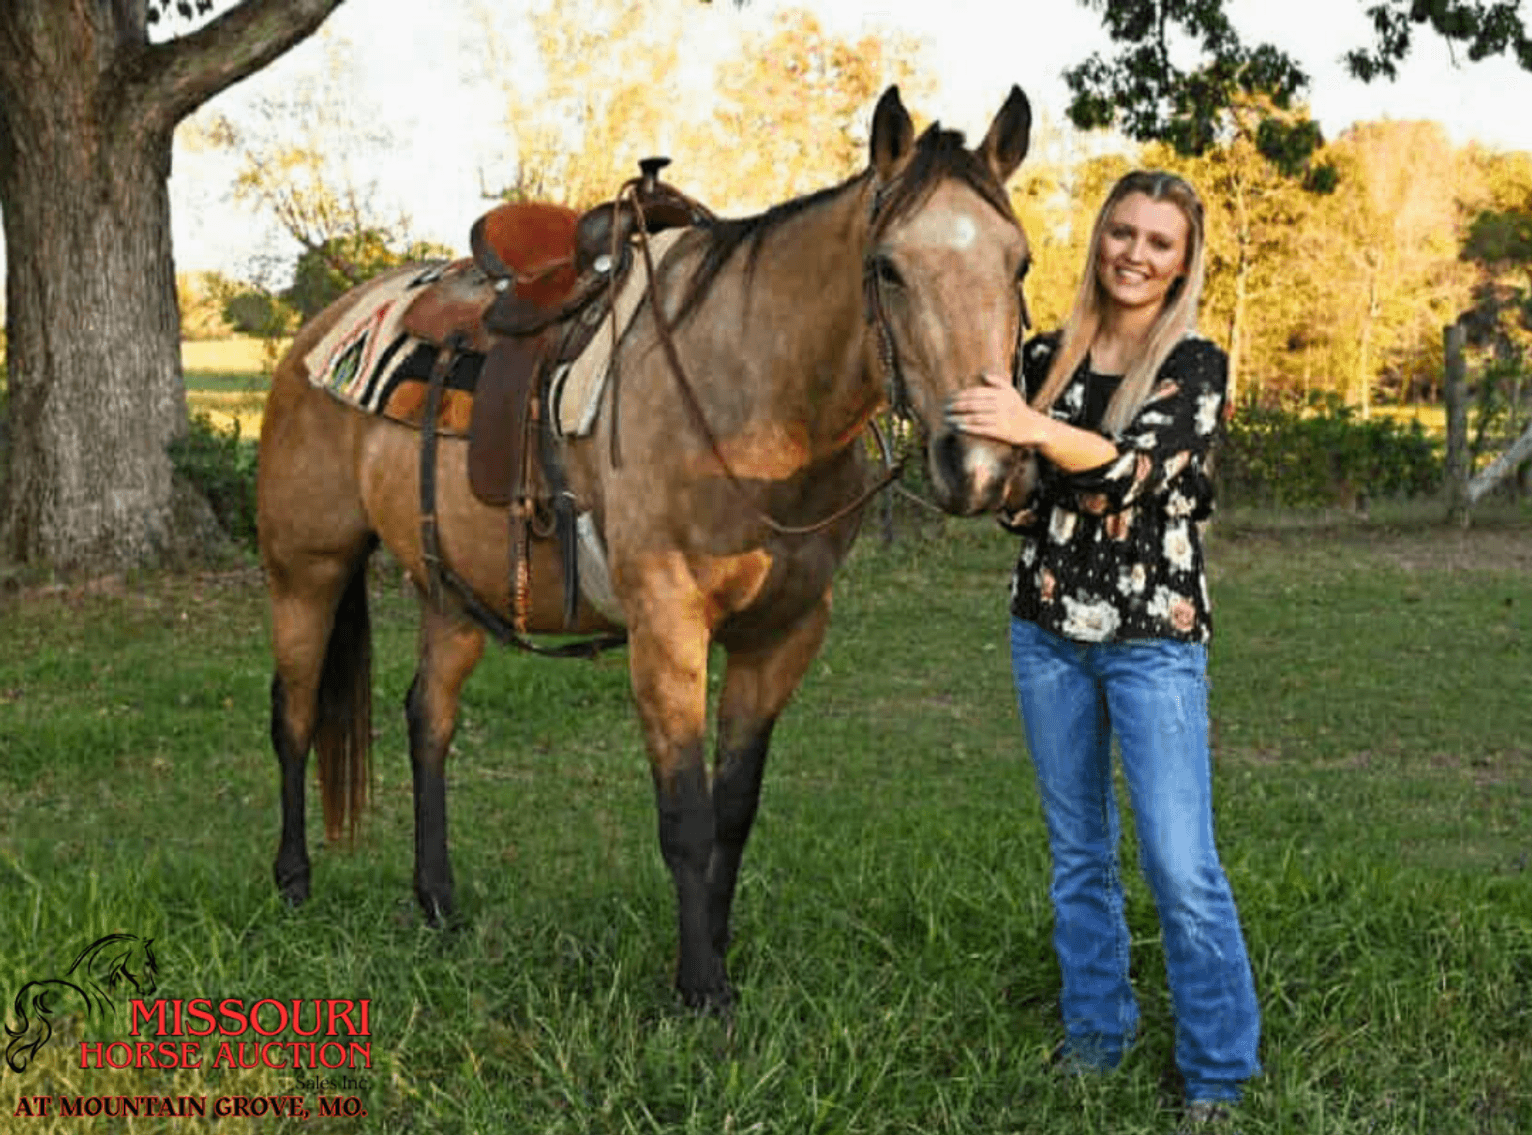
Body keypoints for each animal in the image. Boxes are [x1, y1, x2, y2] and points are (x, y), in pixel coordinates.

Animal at [255, 84, 1034, 1012]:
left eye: (1019, 265)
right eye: (888, 267)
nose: (982, 465)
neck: (750, 394)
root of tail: (319, 333)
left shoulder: (785, 632)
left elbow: (735, 806)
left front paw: (720, 946)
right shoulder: (667, 626)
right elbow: (686, 814)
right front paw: (699, 987)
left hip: (453, 592)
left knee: (427, 719)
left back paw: (437, 900)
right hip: (308, 569)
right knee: (295, 715)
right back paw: (293, 882)